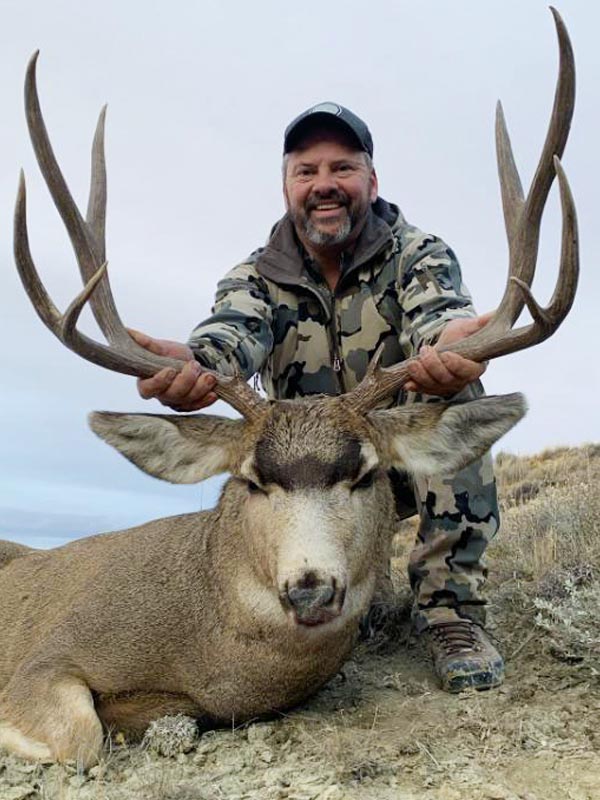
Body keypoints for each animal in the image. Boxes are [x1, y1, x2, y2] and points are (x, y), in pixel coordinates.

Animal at [0, 8, 577, 769]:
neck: (207, 647)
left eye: (365, 474)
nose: (310, 591)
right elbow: (83, 737)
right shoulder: (45, 654)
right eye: (251, 480)